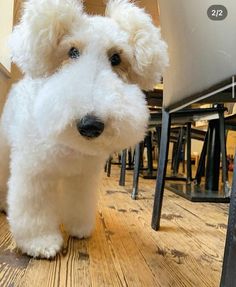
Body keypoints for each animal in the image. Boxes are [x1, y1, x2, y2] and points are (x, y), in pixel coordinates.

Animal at [0, 0, 168, 258]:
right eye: (72, 52)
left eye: (116, 58)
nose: (90, 125)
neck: (71, 147)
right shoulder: (35, 173)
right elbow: (35, 210)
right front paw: (40, 242)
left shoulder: (83, 176)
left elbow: (79, 202)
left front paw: (79, 228)